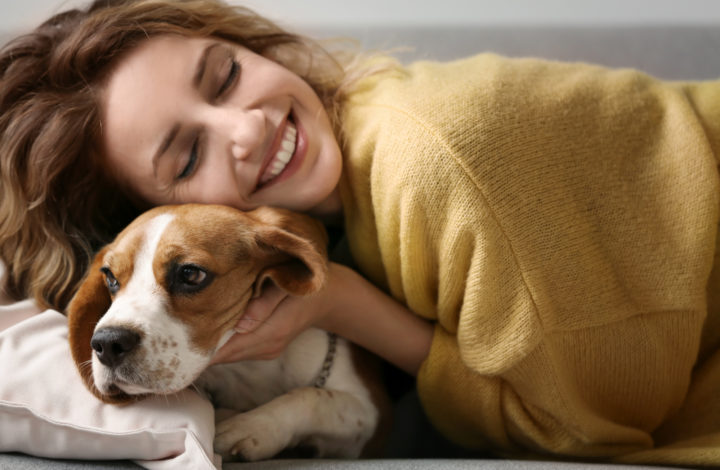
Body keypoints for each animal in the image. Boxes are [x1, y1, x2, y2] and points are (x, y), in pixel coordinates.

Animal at [64, 204, 388, 460]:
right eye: (110, 277)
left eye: (190, 273)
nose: (107, 344)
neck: (249, 369)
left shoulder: (370, 416)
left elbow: (312, 396)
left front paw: (253, 426)